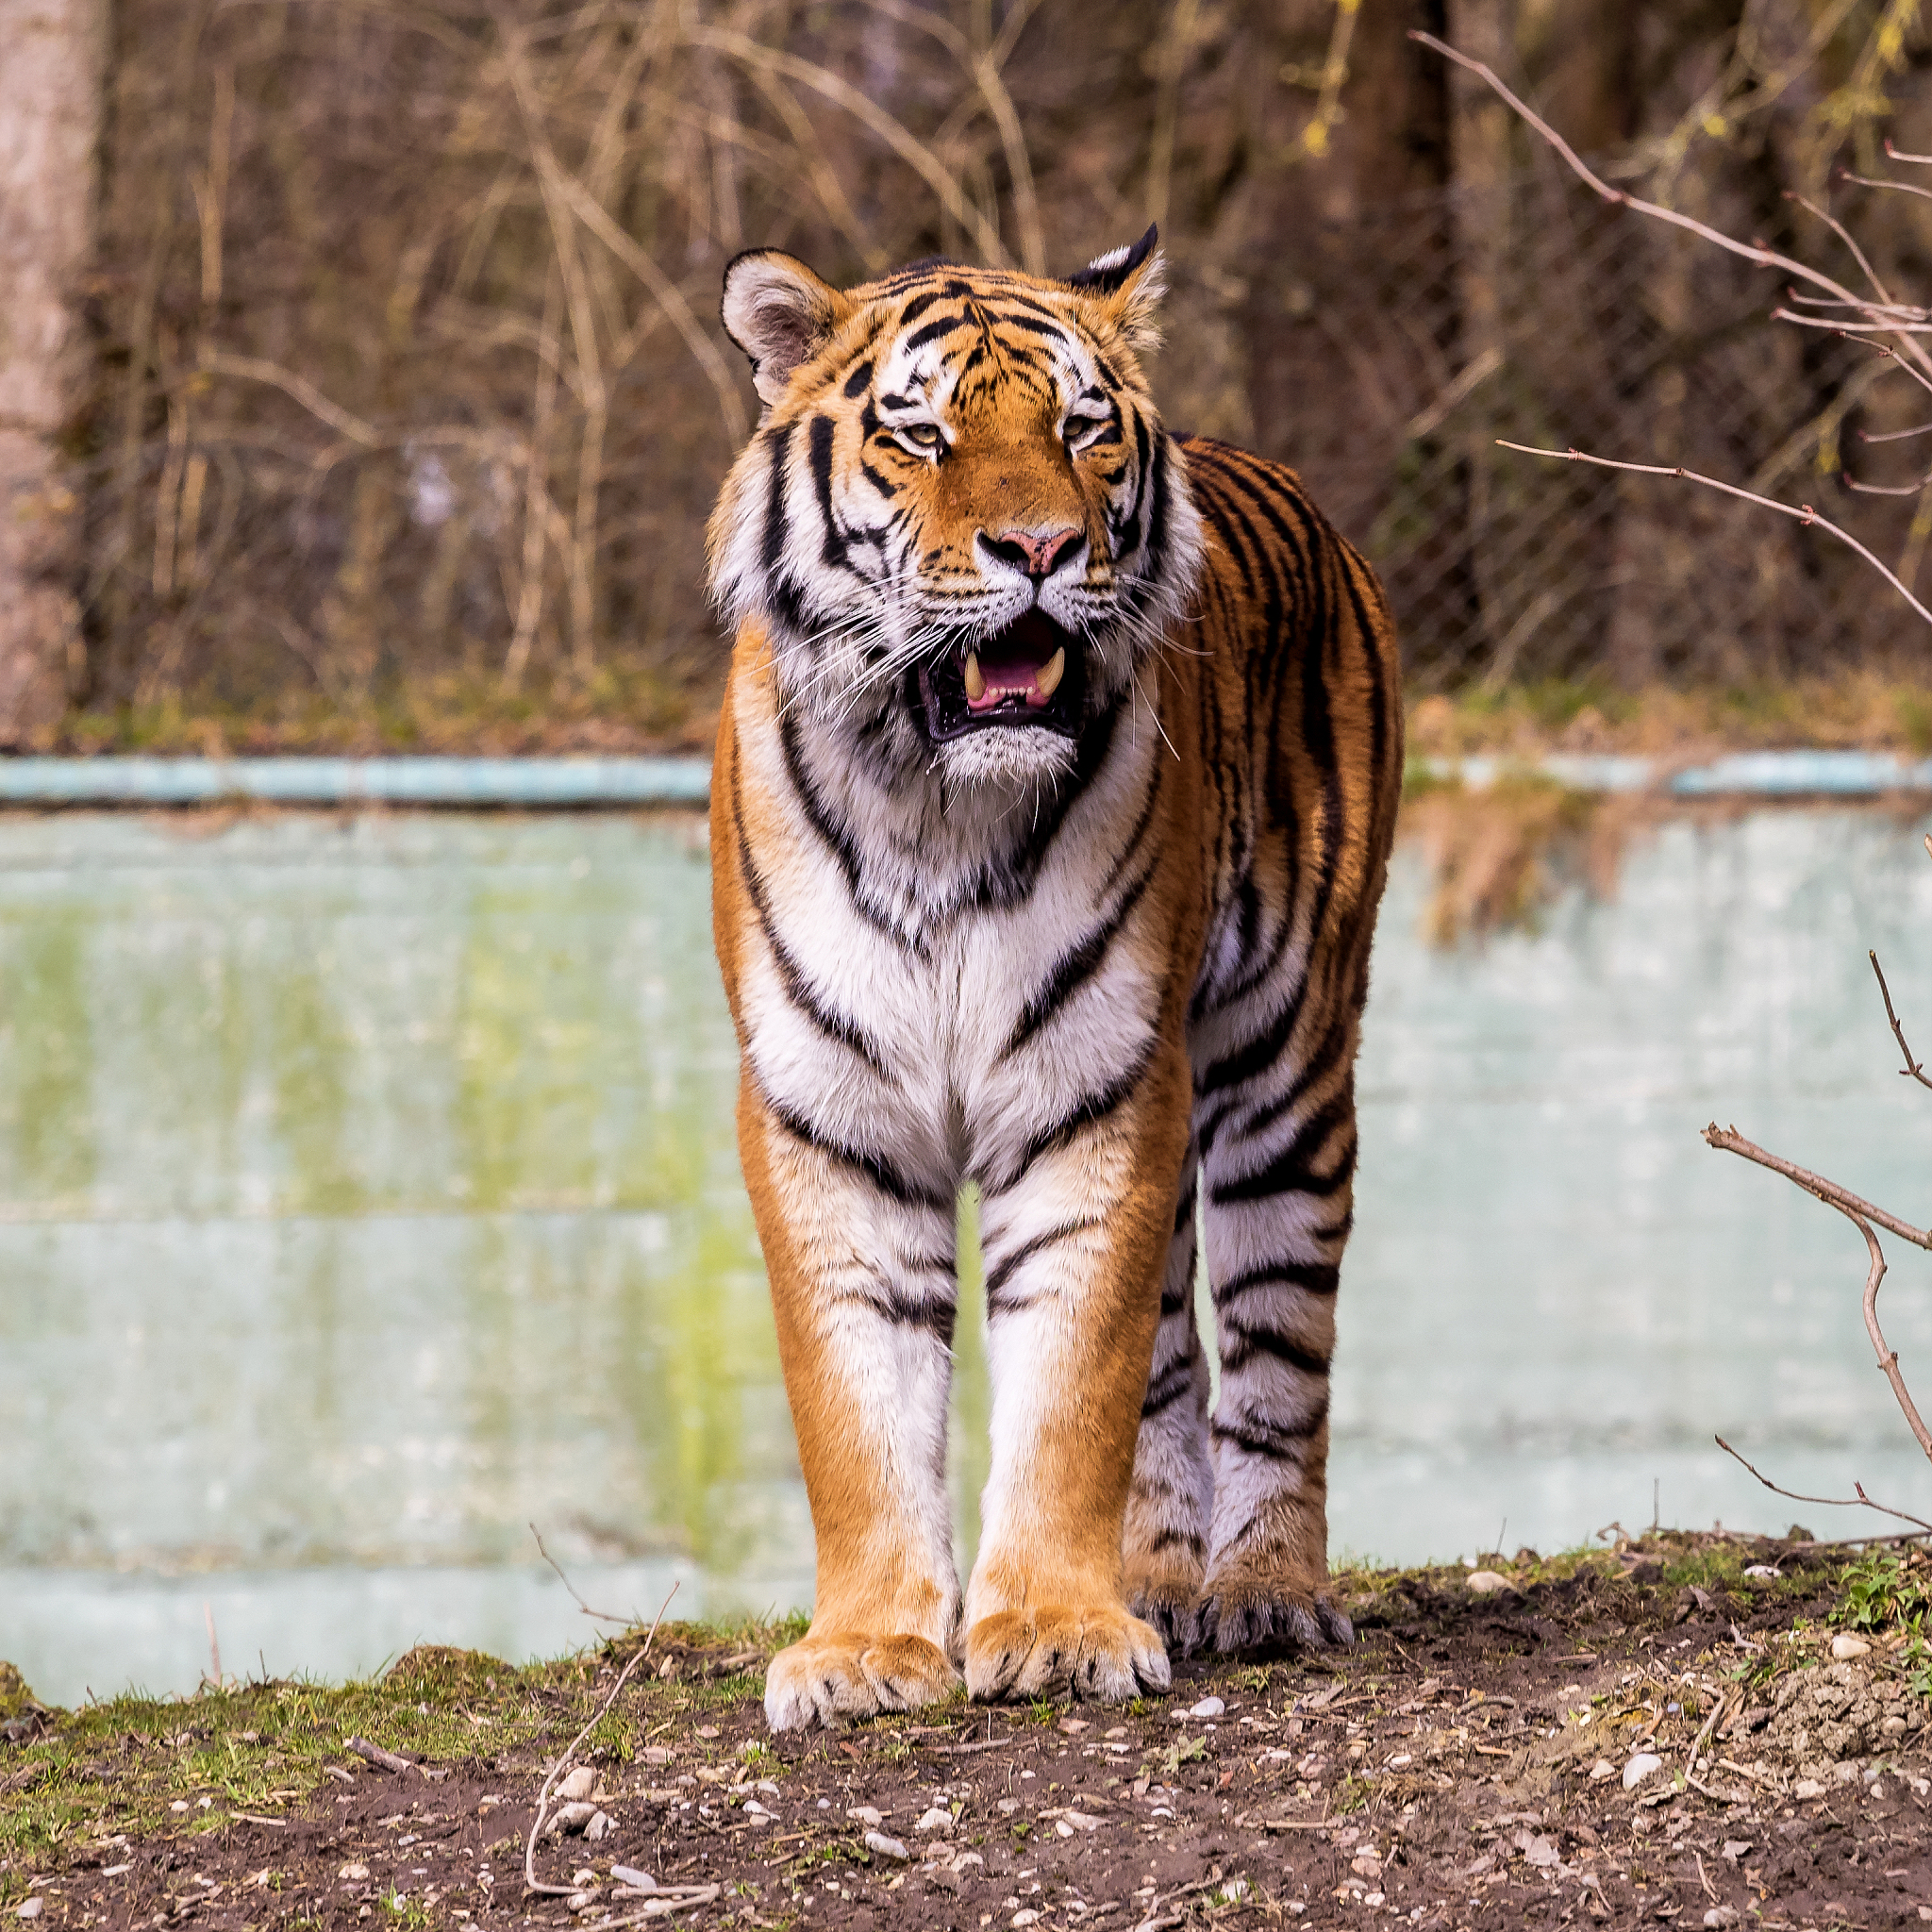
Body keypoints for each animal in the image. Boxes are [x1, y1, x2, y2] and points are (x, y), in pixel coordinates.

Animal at [706, 226, 1402, 1731]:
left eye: (1083, 430)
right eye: (919, 432)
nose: (1039, 548)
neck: (935, 802)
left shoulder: (1098, 1088)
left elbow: (1071, 1385)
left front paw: (1052, 1627)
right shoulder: (825, 1109)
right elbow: (856, 1404)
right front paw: (865, 1649)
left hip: (1286, 1063)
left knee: (1276, 1347)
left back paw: (1264, 1588)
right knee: (1174, 1359)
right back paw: (1161, 1576)